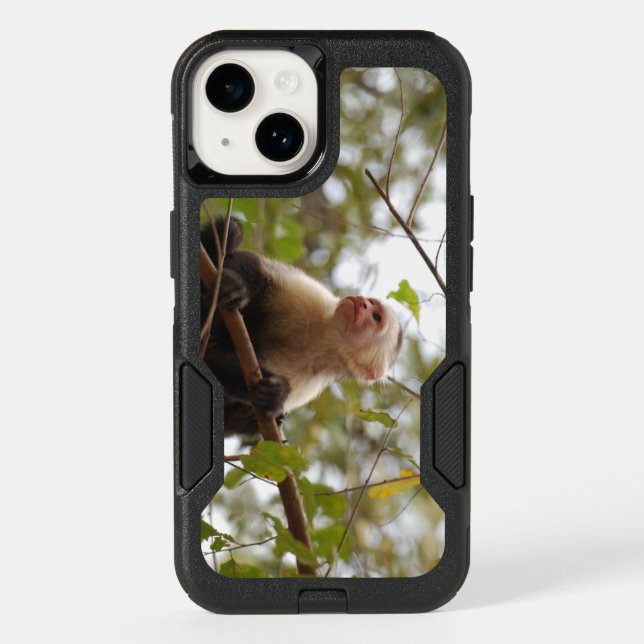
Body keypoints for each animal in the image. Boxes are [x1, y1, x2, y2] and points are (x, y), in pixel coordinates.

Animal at [200, 219, 403, 435]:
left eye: (376, 317)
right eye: (371, 303)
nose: (362, 301)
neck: (328, 339)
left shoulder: (309, 383)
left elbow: (216, 367)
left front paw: (275, 394)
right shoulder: (317, 298)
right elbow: (260, 269)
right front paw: (236, 285)